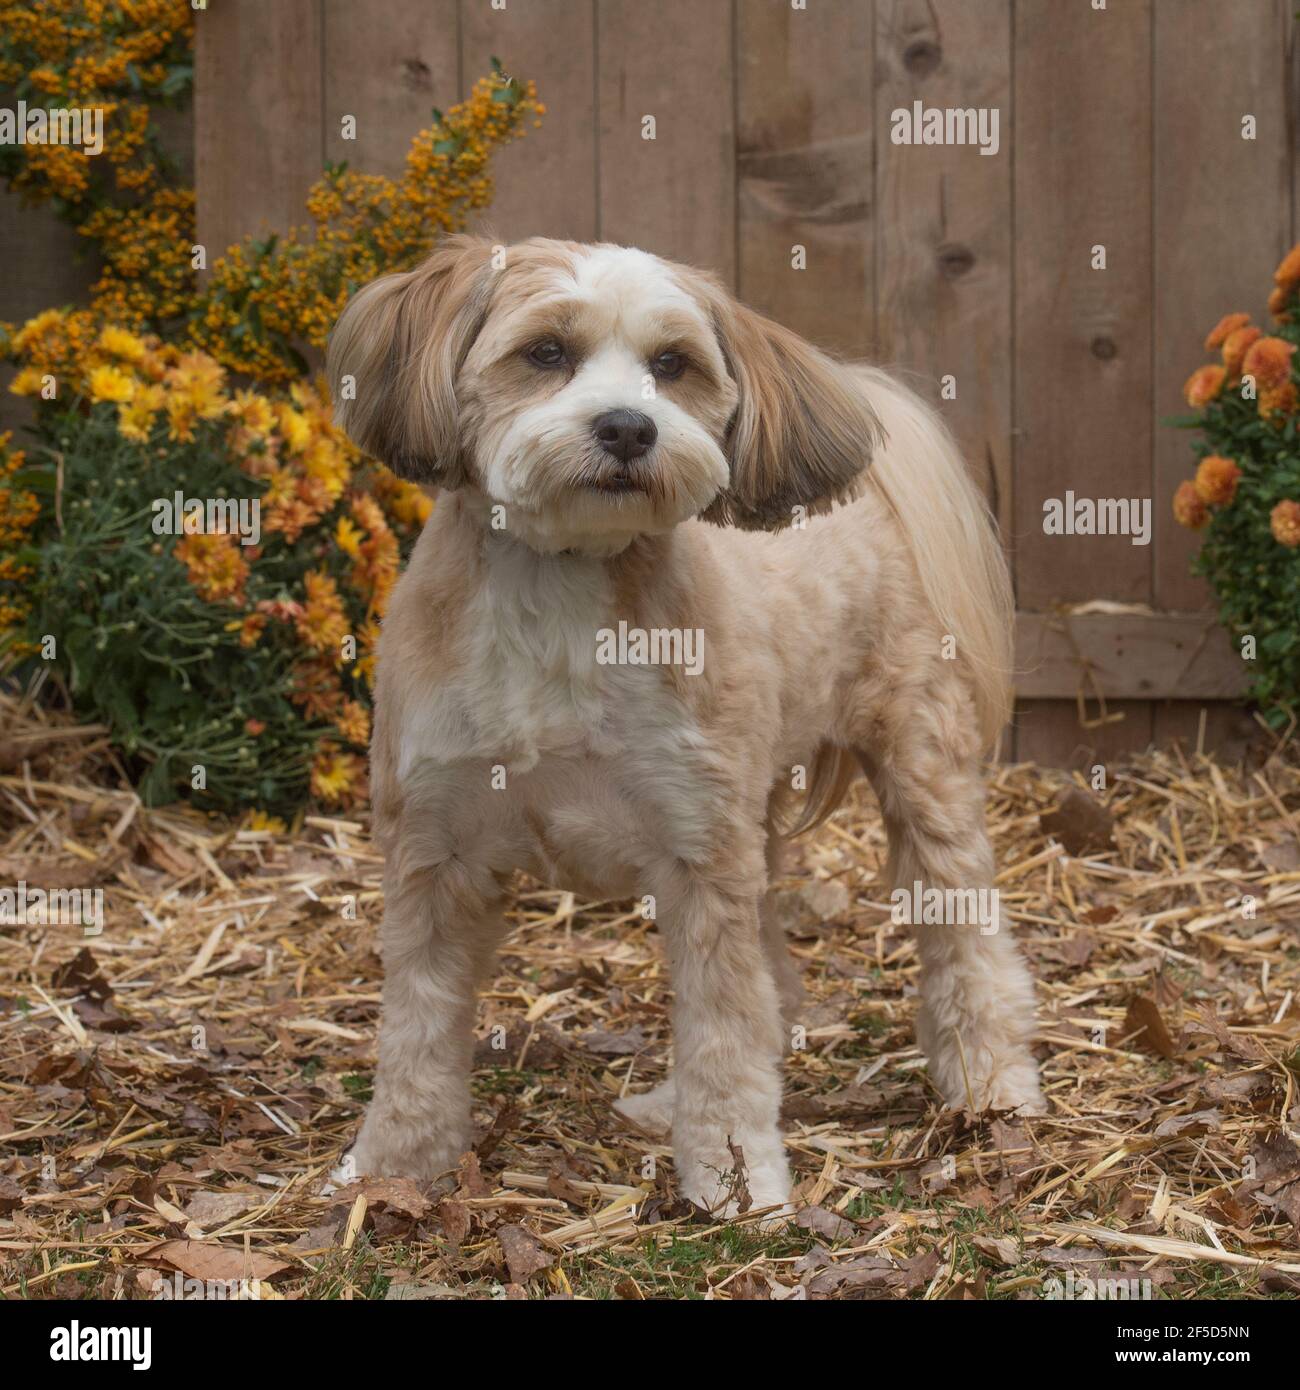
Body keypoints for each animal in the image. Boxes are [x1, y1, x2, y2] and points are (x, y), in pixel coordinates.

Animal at [328, 239, 1045, 1217]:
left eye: (672, 365)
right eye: (546, 352)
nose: (631, 428)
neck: (561, 590)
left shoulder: (701, 860)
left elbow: (723, 1028)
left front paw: (736, 1177)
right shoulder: (434, 851)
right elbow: (417, 1029)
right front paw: (395, 1163)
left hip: (917, 764)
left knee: (962, 931)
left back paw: (990, 1080)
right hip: (752, 815)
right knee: (776, 974)